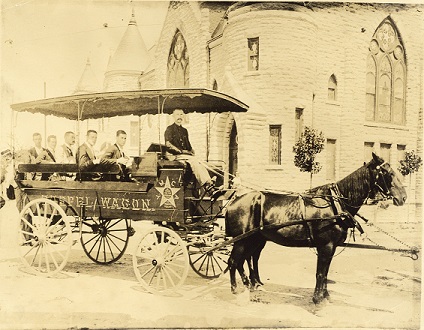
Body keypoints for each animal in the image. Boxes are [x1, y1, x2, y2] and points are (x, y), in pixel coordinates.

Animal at [225, 154, 408, 304]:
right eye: (388, 173)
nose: (403, 197)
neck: (335, 204)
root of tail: (232, 202)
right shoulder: (325, 246)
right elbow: (320, 272)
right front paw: (318, 298)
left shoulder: (331, 247)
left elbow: (325, 272)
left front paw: (325, 295)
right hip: (242, 241)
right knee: (234, 261)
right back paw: (236, 289)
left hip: (254, 239)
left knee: (244, 260)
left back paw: (250, 284)